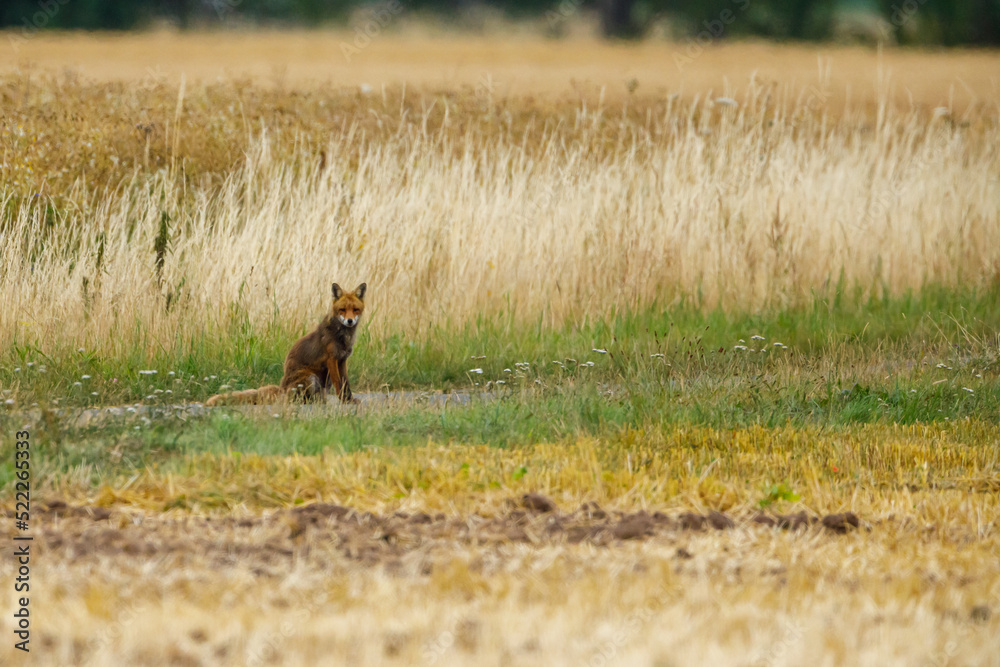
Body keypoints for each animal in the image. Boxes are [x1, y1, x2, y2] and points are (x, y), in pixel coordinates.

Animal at [206, 282, 368, 408]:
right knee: (298, 400)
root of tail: (282, 388)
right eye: (342, 310)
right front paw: (344, 402)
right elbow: (339, 385)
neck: (343, 336)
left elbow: (346, 384)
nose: (349, 321)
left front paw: (350, 400)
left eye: (355, 309)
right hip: (310, 377)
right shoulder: (331, 359)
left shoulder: (342, 360)